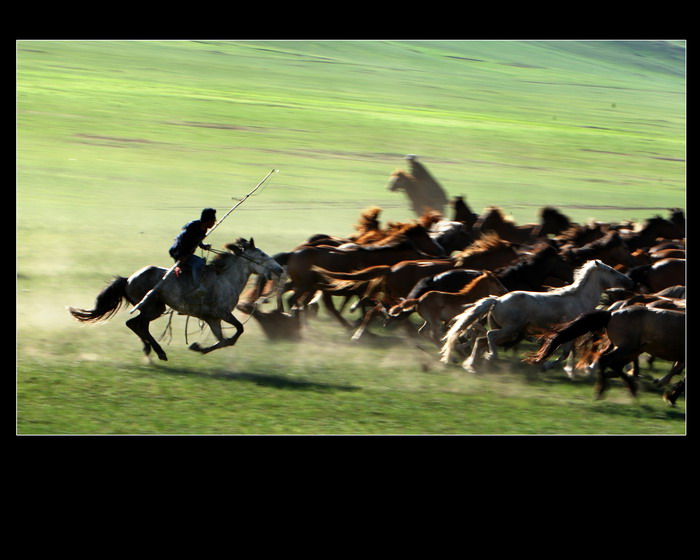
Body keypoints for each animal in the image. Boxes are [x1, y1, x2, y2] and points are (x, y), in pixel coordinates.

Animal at [68, 237, 282, 360]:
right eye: (262, 255)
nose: (279, 269)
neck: (225, 278)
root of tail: (128, 279)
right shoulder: (221, 313)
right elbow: (238, 330)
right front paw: (199, 347)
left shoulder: (212, 318)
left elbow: (223, 340)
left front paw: (198, 347)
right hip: (152, 308)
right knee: (135, 324)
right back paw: (159, 352)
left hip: (156, 308)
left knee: (138, 325)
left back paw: (150, 350)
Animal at [442, 260, 636, 372]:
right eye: (611, 271)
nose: (630, 281)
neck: (578, 299)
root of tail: (497, 300)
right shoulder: (570, 333)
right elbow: (565, 352)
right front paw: (547, 365)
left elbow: (564, 351)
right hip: (510, 329)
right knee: (488, 336)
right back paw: (491, 358)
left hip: (504, 330)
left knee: (480, 340)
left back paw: (472, 365)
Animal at [528, 306, 688, 402]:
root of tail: (611, 314)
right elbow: (682, 379)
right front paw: (671, 397)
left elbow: (680, 375)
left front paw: (670, 395)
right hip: (626, 348)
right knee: (605, 360)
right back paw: (602, 390)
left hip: (633, 350)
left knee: (614, 364)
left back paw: (630, 387)